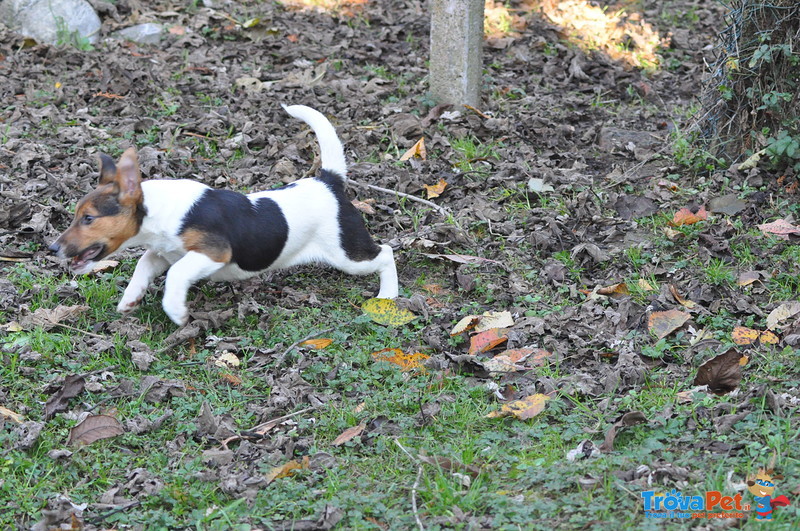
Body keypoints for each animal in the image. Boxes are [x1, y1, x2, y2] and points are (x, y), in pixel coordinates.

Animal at [48, 104, 398, 326]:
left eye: (88, 219)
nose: (52, 249)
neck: (159, 209)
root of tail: (328, 180)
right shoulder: (163, 252)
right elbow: (143, 265)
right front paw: (130, 300)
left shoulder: (213, 252)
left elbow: (175, 275)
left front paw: (176, 312)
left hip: (347, 252)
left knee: (385, 254)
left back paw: (388, 297)